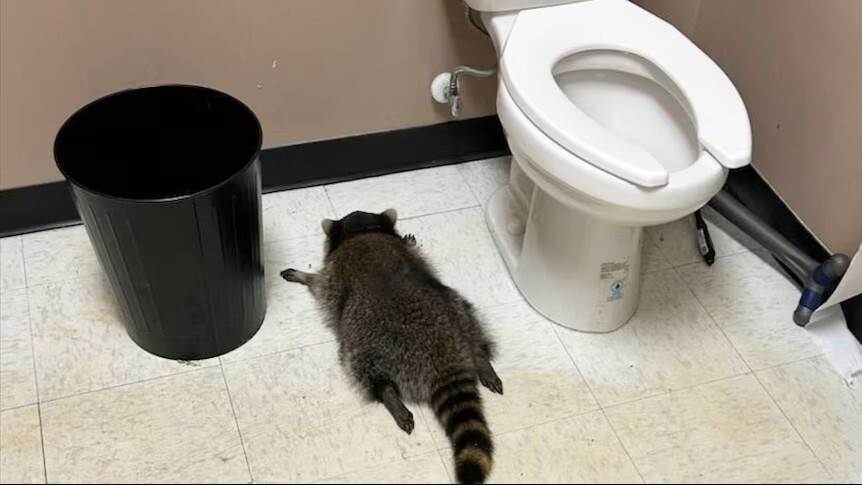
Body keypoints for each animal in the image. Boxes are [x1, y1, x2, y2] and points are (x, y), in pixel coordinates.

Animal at [280, 209, 502, 484]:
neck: (363, 231)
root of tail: (443, 357)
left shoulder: (333, 275)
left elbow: (319, 284)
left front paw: (304, 276)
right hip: (457, 309)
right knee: (471, 323)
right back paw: (481, 359)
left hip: (366, 341)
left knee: (362, 367)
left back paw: (388, 394)